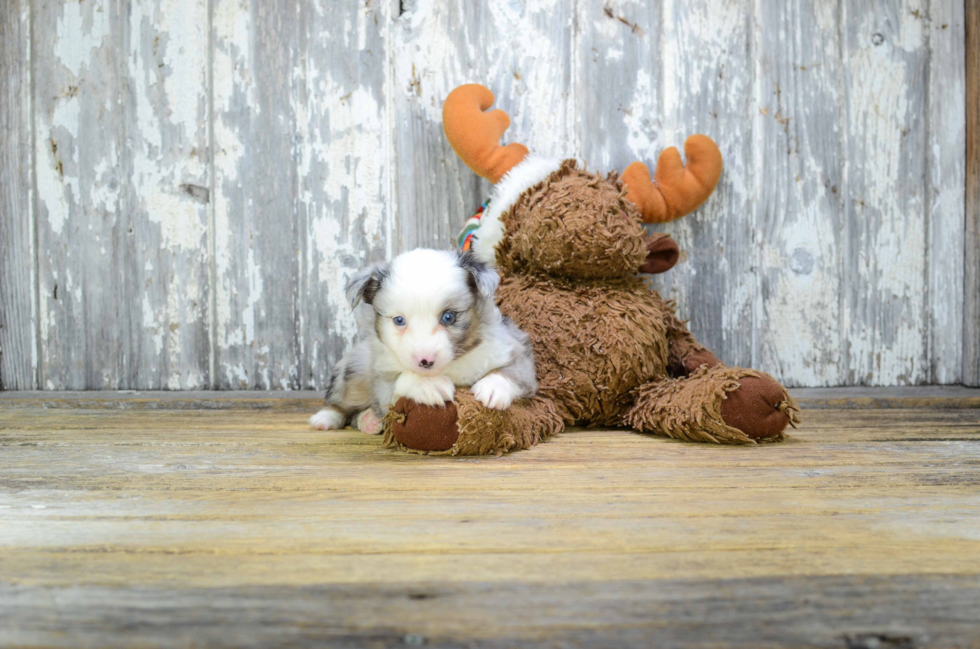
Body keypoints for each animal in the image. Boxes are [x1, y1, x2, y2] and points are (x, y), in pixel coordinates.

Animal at [308, 251, 536, 432]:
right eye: (399, 320)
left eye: (448, 317)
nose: (425, 361)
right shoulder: (383, 383)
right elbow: (400, 381)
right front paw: (428, 385)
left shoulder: (516, 350)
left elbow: (514, 371)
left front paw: (493, 387)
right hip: (354, 371)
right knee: (341, 403)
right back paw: (327, 418)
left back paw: (369, 420)